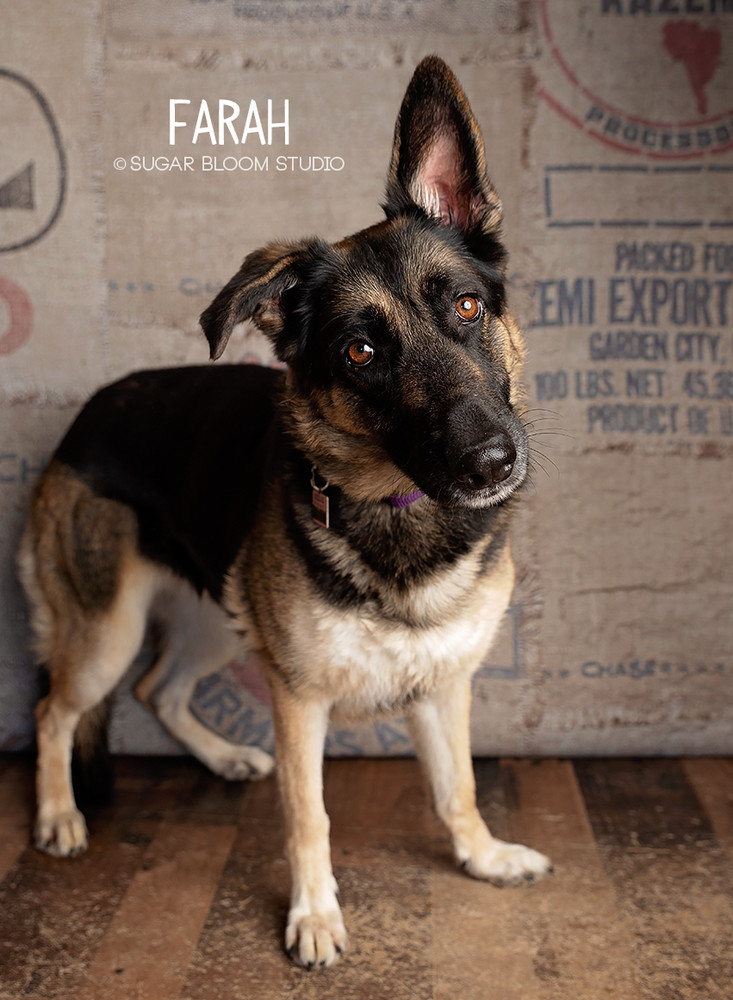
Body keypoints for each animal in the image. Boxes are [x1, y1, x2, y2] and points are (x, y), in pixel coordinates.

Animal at [18, 56, 548, 968]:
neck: (397, 506)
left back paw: (222, 757)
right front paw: (314, 918)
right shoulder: (299, 700)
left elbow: (459, 788)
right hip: (107, 630)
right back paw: (58, 814)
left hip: (212, 618)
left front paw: (481, 857)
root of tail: (85, 415)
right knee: (59, 709)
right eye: (360, 353)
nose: (491, 462)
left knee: (158, 688)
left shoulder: (443, 687)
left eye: (467, 307)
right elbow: (310, 817)